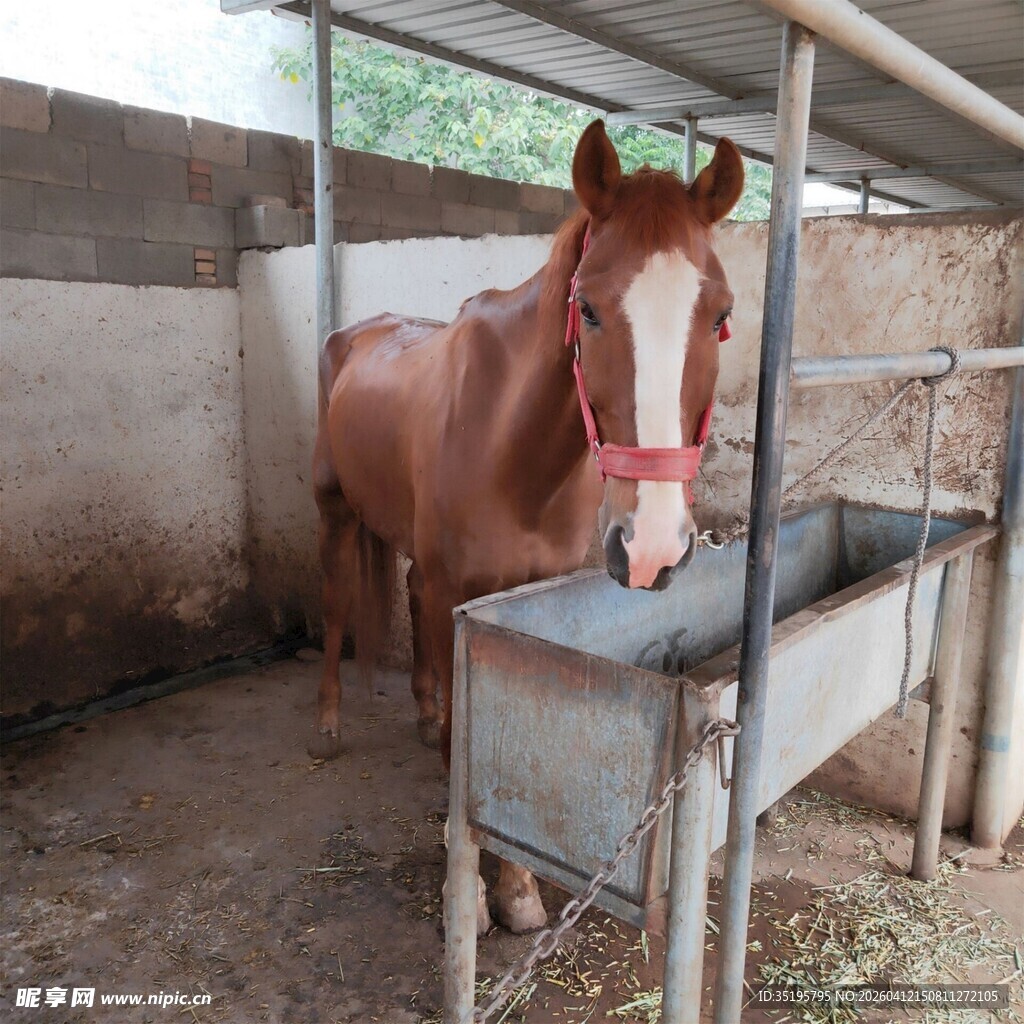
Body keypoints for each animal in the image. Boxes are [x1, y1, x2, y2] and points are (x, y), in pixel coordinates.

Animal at [310, 120, 744, 933]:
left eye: (721, 314)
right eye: (591, 309)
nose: (651, 547)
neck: (512, 445)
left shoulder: (524, 595)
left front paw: (518, 890)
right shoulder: (459, 591)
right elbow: (465, 750)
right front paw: (476, 900)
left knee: (408, 594)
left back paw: (420, 710)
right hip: (334, 511)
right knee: (336, 604)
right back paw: (326, 724)